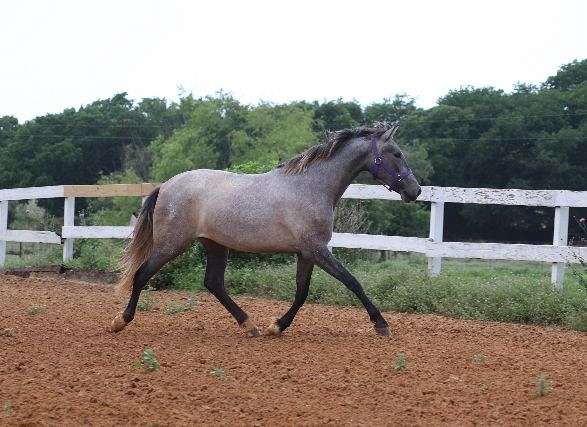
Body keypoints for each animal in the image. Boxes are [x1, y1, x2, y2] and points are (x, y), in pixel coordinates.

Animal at [111, 123, 422, 338]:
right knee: (141, 274)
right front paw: (381, 325)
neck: (311, 186)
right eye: (396, 153)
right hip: (172, 244)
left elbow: (302, 293)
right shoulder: (317, 250)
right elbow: (352, 282)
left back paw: (250, 326)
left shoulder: (306, 253)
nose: (415, 190)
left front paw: (277, 326)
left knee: (214, 283)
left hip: (214, 245)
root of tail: (164, 186)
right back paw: (120, 321)